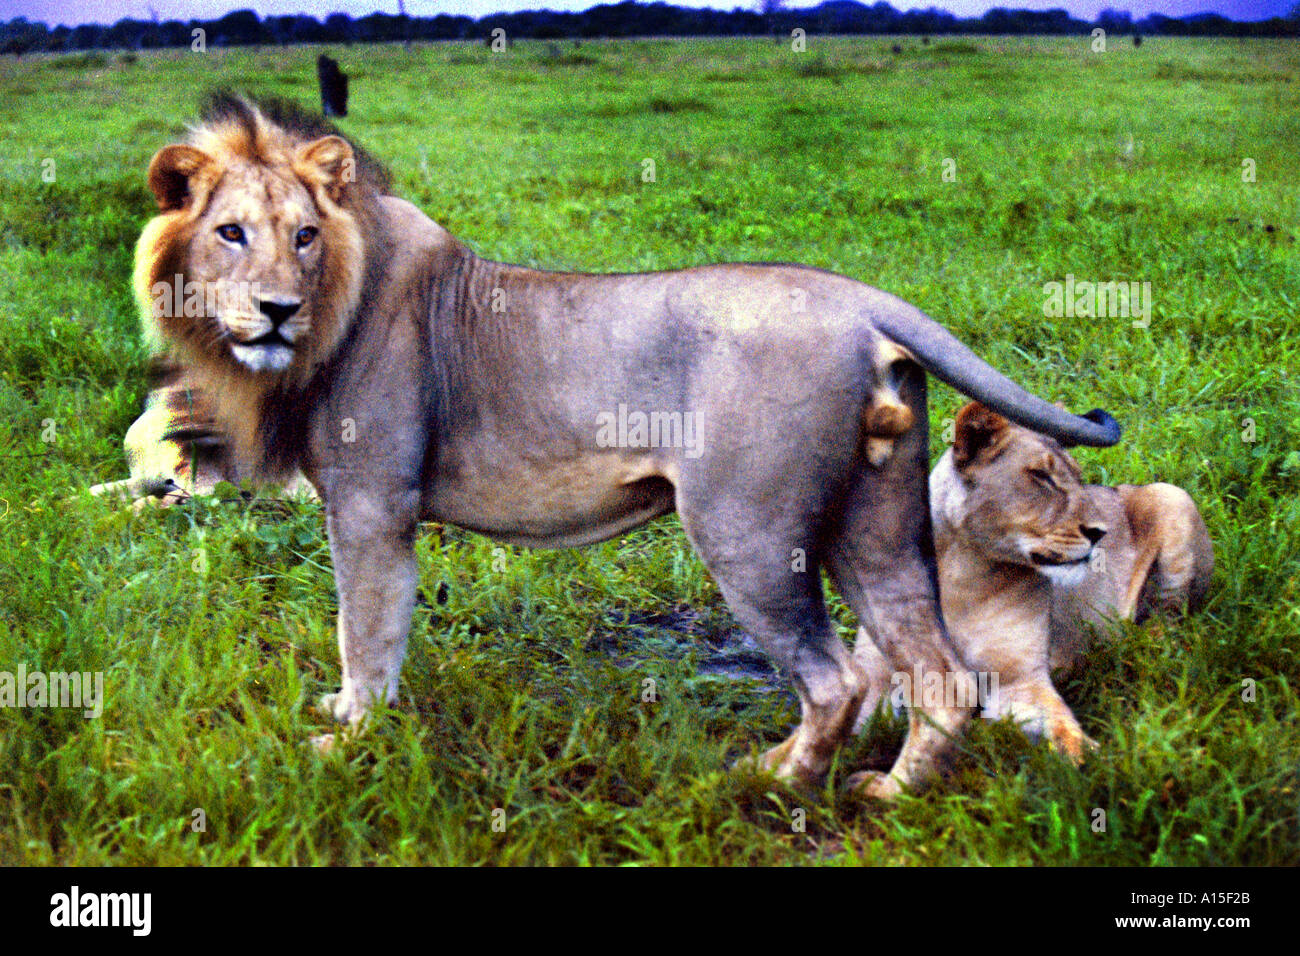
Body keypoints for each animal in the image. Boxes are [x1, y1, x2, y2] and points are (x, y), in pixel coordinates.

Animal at [131, 95, 1123, 801]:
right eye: (230, 233)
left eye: (303, 236)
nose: (277, 310)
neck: (341, 297)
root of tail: (864, 302)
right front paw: (344, 716)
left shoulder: (373, 501)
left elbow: (365, 628)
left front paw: (349, 742)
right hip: (876, 525)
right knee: (940, 675)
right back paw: (894, 793)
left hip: (745, 530)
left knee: (836, 678)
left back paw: (775, 781)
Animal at [915, 403, 1216, 764]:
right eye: (1041, 476)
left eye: (1079, 479)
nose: (1099, 532)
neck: (963, 574)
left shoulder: (1020, 678)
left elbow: (1059, 722)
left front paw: (1092, 760)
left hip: (1172, 496)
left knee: (1169, 624)